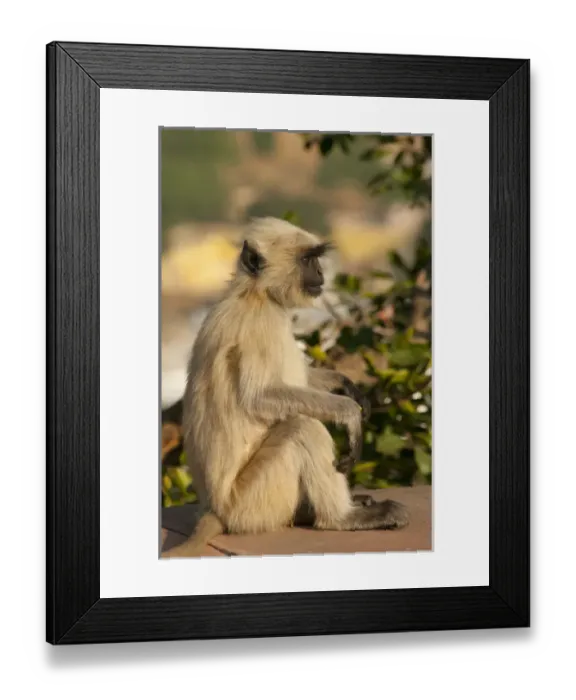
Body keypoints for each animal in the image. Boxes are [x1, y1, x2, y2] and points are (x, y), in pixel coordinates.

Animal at [161, 217, 409, 558]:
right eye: (307, 260)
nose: (319, 272)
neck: (255, 293)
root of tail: (215, 510)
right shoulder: (258, 324)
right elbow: (258, 398)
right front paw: (349, 412)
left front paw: (347, 387)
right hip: (252, 503)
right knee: (302, 426)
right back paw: (342, 519)